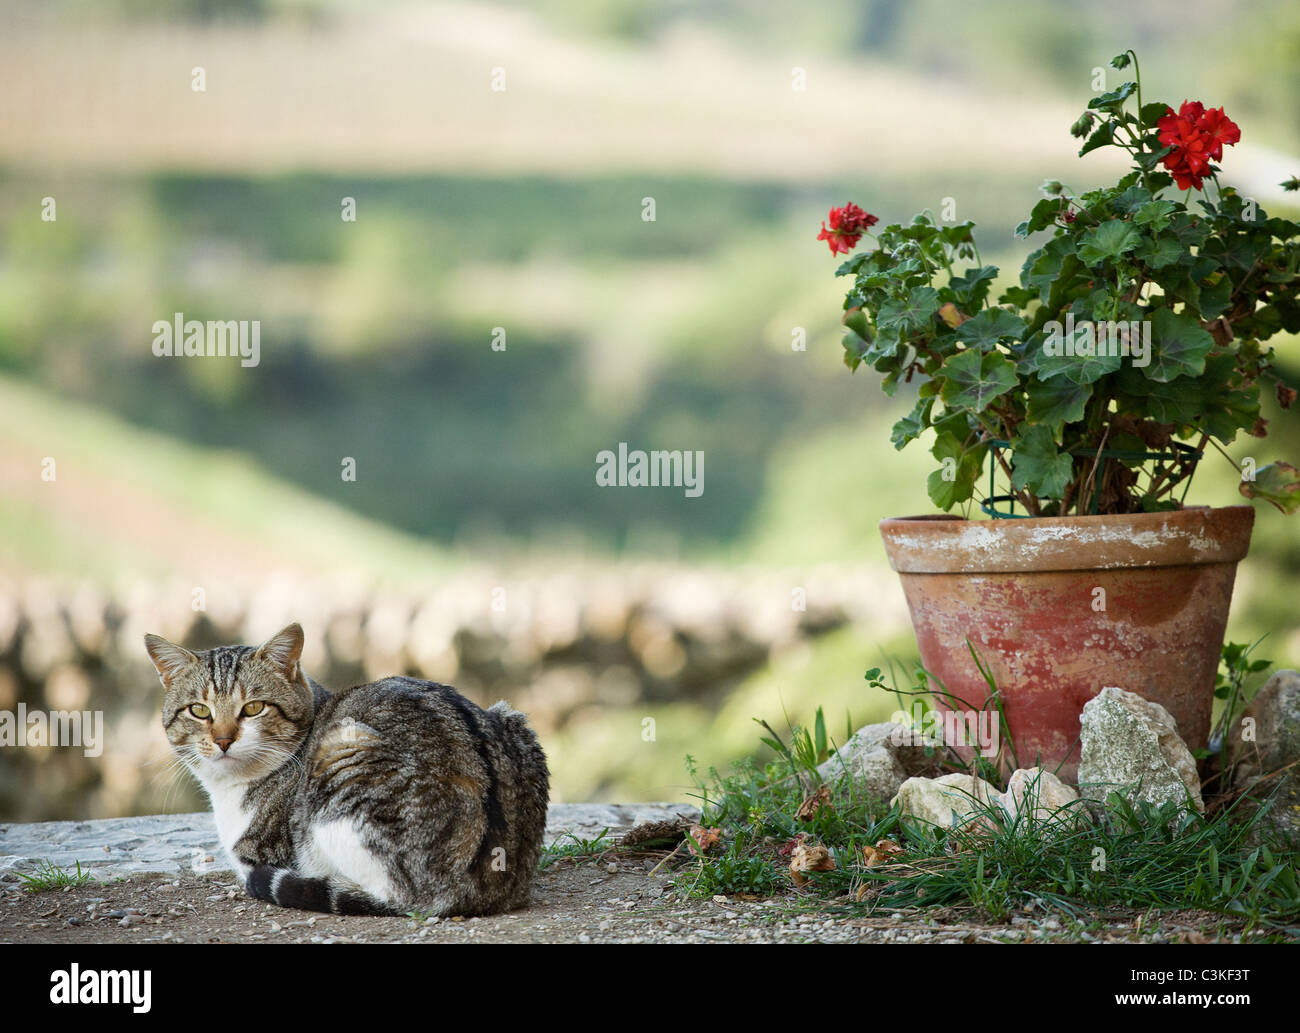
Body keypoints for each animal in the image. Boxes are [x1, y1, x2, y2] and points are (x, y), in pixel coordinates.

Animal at [144, 626, 551, 914]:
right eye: (199, 711)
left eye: (254, 708)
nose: (224, 739)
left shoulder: (262, 852)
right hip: (512, 719)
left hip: (342, 758)